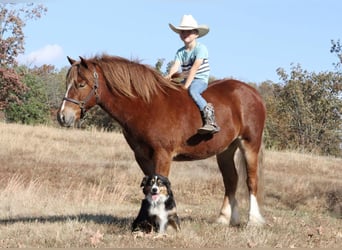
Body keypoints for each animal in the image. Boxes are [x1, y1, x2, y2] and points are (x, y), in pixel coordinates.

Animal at [56, 53, 268, 226]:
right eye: (67, 83)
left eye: (81, 84)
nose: (63, 116)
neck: (147, 105)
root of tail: (253, 92)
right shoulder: (142, 156)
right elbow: (150, 188)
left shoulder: (163, 155)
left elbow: (161, 186)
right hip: (225, 149)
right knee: (231, 180)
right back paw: (225, 219)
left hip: (249, 144)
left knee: (251, 180)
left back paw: (253, 220)